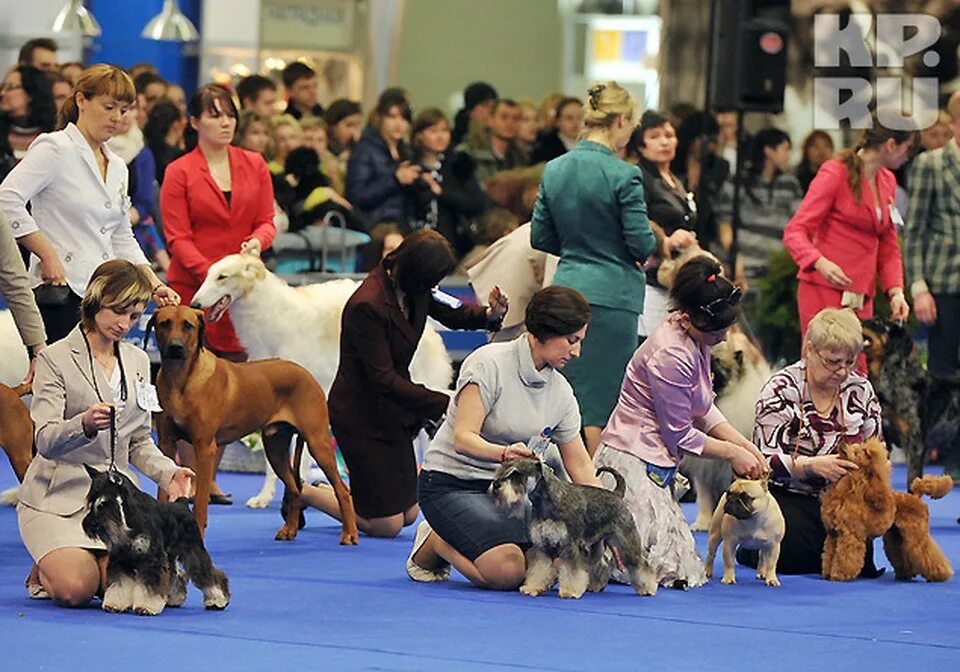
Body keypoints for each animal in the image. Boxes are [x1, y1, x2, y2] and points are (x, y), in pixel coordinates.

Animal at [81, 468, 230, 616]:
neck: (129, 519)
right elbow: (119, 584)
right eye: (91, 502)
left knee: (208, 574)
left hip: (193, 551)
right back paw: (175, 599)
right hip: (170, 556)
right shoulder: (121, 559)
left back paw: (218, 601)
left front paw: (146, 607)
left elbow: (150, 585)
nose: (90, 525)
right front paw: (114, 604)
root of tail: (182, 503)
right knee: (175, 576)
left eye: (104, 503)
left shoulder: (152, 558)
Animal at [148, 304, 358, 540]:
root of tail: (306, 372)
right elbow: (163, 488)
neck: (179, 380)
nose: (175, 347)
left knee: (342, 490)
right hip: (275, 448)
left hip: (318, 441)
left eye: (188, 325)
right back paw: (289, 530)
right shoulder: (166, 443)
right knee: (295, 489)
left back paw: (349, 534)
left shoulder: (204, 448)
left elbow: (201, 503)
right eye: (164, 324)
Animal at [492, 456, 656, 600]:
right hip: (595, 545)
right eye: (502, 469)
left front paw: (569, 591)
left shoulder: (570, 545)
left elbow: (571, 571)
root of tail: (617, 494)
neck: (547, 502)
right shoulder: (543, 547)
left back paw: (648, 588)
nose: (495, 485)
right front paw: (532, 587)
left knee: (640, 564)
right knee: (600, 564)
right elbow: (539, 569)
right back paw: (596, 586)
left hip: (625, 542)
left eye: (516, 473)